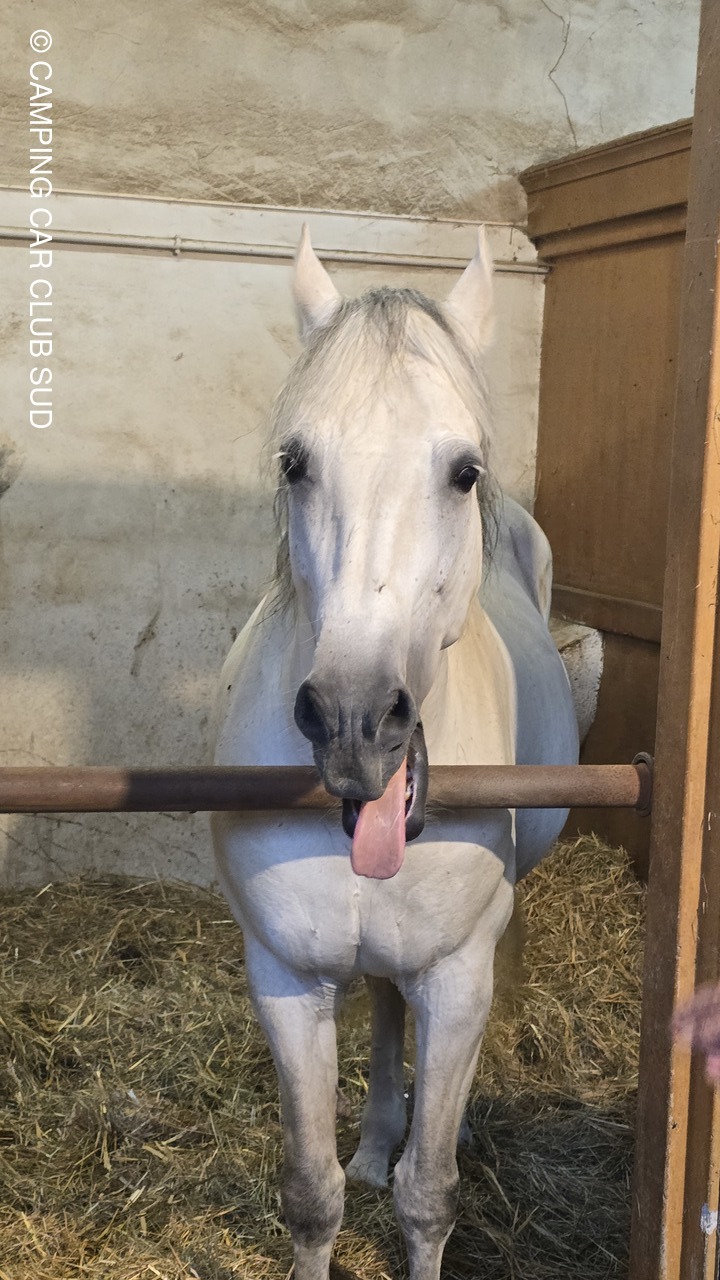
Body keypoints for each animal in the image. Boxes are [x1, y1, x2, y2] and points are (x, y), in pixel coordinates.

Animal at [211, 225, 579, 1280]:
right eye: (295, 462)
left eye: (464, 471)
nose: (354, 720)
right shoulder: (285, 981)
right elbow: (311, 1193)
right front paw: (360, 1162)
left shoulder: (457, 983)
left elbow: (430, 1195)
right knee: (379, 1008)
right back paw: (376, 1138)